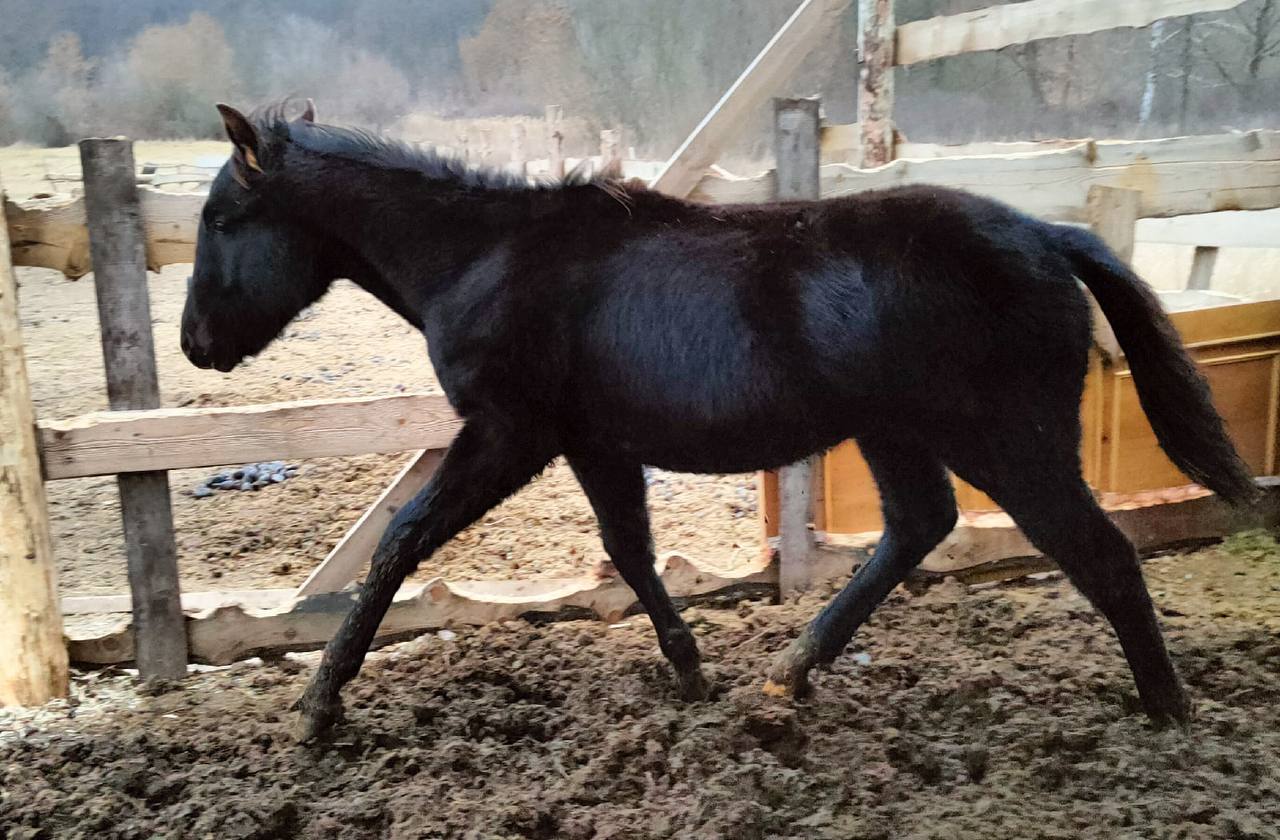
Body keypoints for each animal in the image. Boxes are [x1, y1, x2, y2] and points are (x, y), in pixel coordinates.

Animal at [182, 102, 1259, 743]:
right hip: (897, 432)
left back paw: (1167, 713)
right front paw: (692, 674)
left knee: (1099, 554)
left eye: (224, 222)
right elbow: (629, 549)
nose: (193, 344)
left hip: (1011, 443)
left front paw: (319, 706)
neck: (488, 256)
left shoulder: (509, 435)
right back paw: (791, 673)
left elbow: (400, 541)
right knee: (918, 526)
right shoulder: (591, 443)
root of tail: (1049, 232)